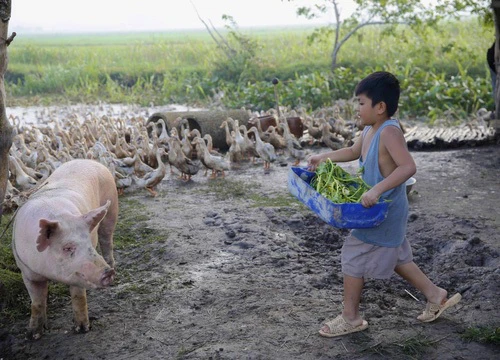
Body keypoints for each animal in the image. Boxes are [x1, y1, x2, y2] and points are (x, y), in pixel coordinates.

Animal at [12, 159, 118, 338]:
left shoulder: (78, 272)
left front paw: (82, 329)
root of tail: (91, 161)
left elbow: (78, 296)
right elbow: (37, 302)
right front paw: (33, 335)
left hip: (112, 208)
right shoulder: (26, 271)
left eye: (89, 243)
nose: (107, 273)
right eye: (67, 247)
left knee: (107, 240)